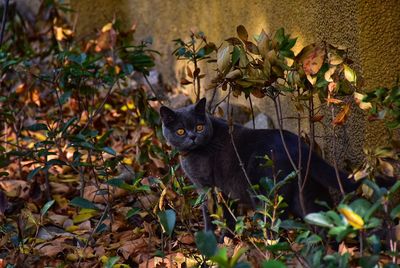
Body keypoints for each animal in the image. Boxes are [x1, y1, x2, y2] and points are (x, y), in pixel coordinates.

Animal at [159, 98, 360, 230]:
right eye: (180, 131)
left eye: (199, 127)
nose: (193, 136)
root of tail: (298, 146)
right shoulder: (224, 191)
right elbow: (228, 215)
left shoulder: (207, 188)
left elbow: (212, 213)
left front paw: (211, 237)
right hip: (305, 190)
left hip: (267, 192)